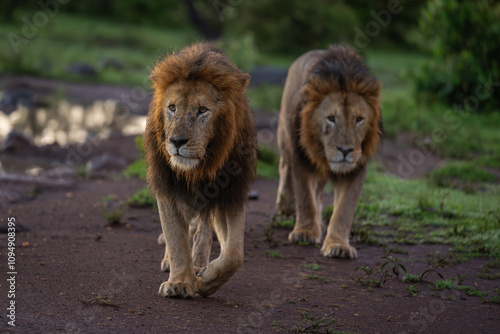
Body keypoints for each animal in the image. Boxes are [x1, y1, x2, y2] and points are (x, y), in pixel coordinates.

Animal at [142, 42, 256, 298]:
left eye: (202, 109)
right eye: (172, 107)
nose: (176, 141)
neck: (199, 168)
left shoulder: (230, 192)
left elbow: (235, 253)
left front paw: (205, 280)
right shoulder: (168, 187)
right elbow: (175, 238)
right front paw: (178, 282)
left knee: (203, 230)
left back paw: (199, 265)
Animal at [276, 44, 380, 258]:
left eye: (359, 119)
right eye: (331, 118)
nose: (345, 150)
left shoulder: (356, 167)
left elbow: (344, 210)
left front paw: (338, 245)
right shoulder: (301, 157)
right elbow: (305, 197)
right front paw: (305, 233)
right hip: (284, 138)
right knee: (284, 167)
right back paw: (285, 206)